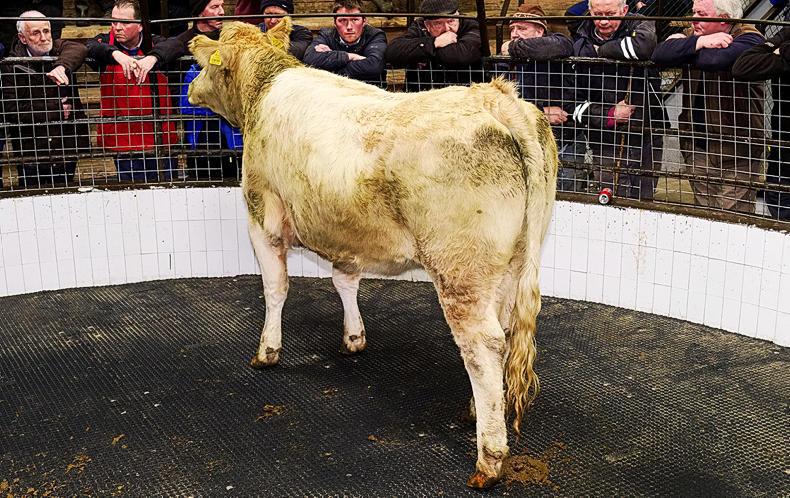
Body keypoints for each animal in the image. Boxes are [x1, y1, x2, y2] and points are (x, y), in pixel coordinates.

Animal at [187, 20, 558, 488]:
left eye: (206, 62)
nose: (190, 89)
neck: (265, 88)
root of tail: (495, 97)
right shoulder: (346, 232)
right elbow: (345, 279)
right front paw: (353, 337)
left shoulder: (262, 217)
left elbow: (275, 288)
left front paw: (267, 351)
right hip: (512, 262)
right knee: (505, 332)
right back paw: (480, 410)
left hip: (461, 270)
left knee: (482, 345)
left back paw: (488, 458)